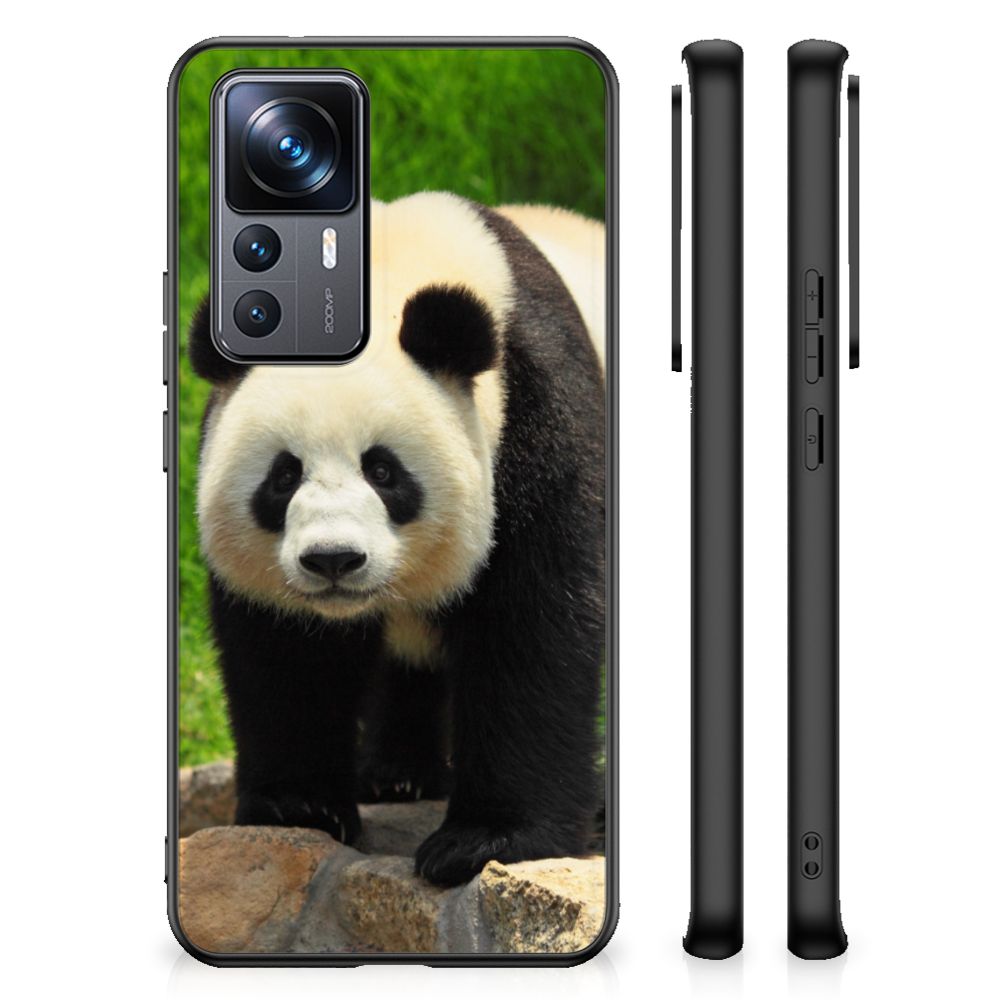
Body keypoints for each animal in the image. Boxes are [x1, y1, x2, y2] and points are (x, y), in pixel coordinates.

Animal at [190, 192, 606, 887]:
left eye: (383, 471)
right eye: (283, 475)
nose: (333, 560)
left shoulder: (539, 421)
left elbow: (535, 628)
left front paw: (484, 840)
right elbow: (286, 654)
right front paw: (299, 807)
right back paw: (397, 775)